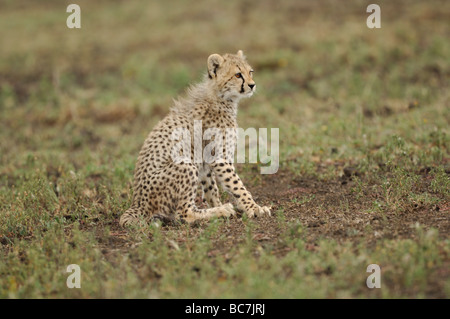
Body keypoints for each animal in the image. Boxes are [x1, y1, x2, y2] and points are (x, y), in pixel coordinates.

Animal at [119, 50, 270, 228]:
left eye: (250, 72)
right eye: (238, 74)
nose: (252, 85)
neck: (221, 98)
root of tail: (136, 203)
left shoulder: (206, 162)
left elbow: (212, 189)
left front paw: (221, 205)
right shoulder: (220, 158)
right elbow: (237, 185)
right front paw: (255, 208)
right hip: (185, 165)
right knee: (183, 214)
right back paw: (221, 211)